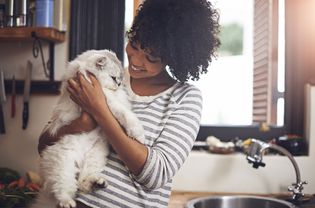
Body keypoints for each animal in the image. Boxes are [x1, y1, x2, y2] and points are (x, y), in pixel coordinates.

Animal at [31, 49, 145, 208]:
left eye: (120, 79)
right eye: (113, 77)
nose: (119, 83)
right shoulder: (106, 100)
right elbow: (126, 115)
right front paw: (138, 134)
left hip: (95, 156)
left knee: (82, 183)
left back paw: (97, 183)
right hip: (63, 164)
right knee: (63, 189)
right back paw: (67, 202)